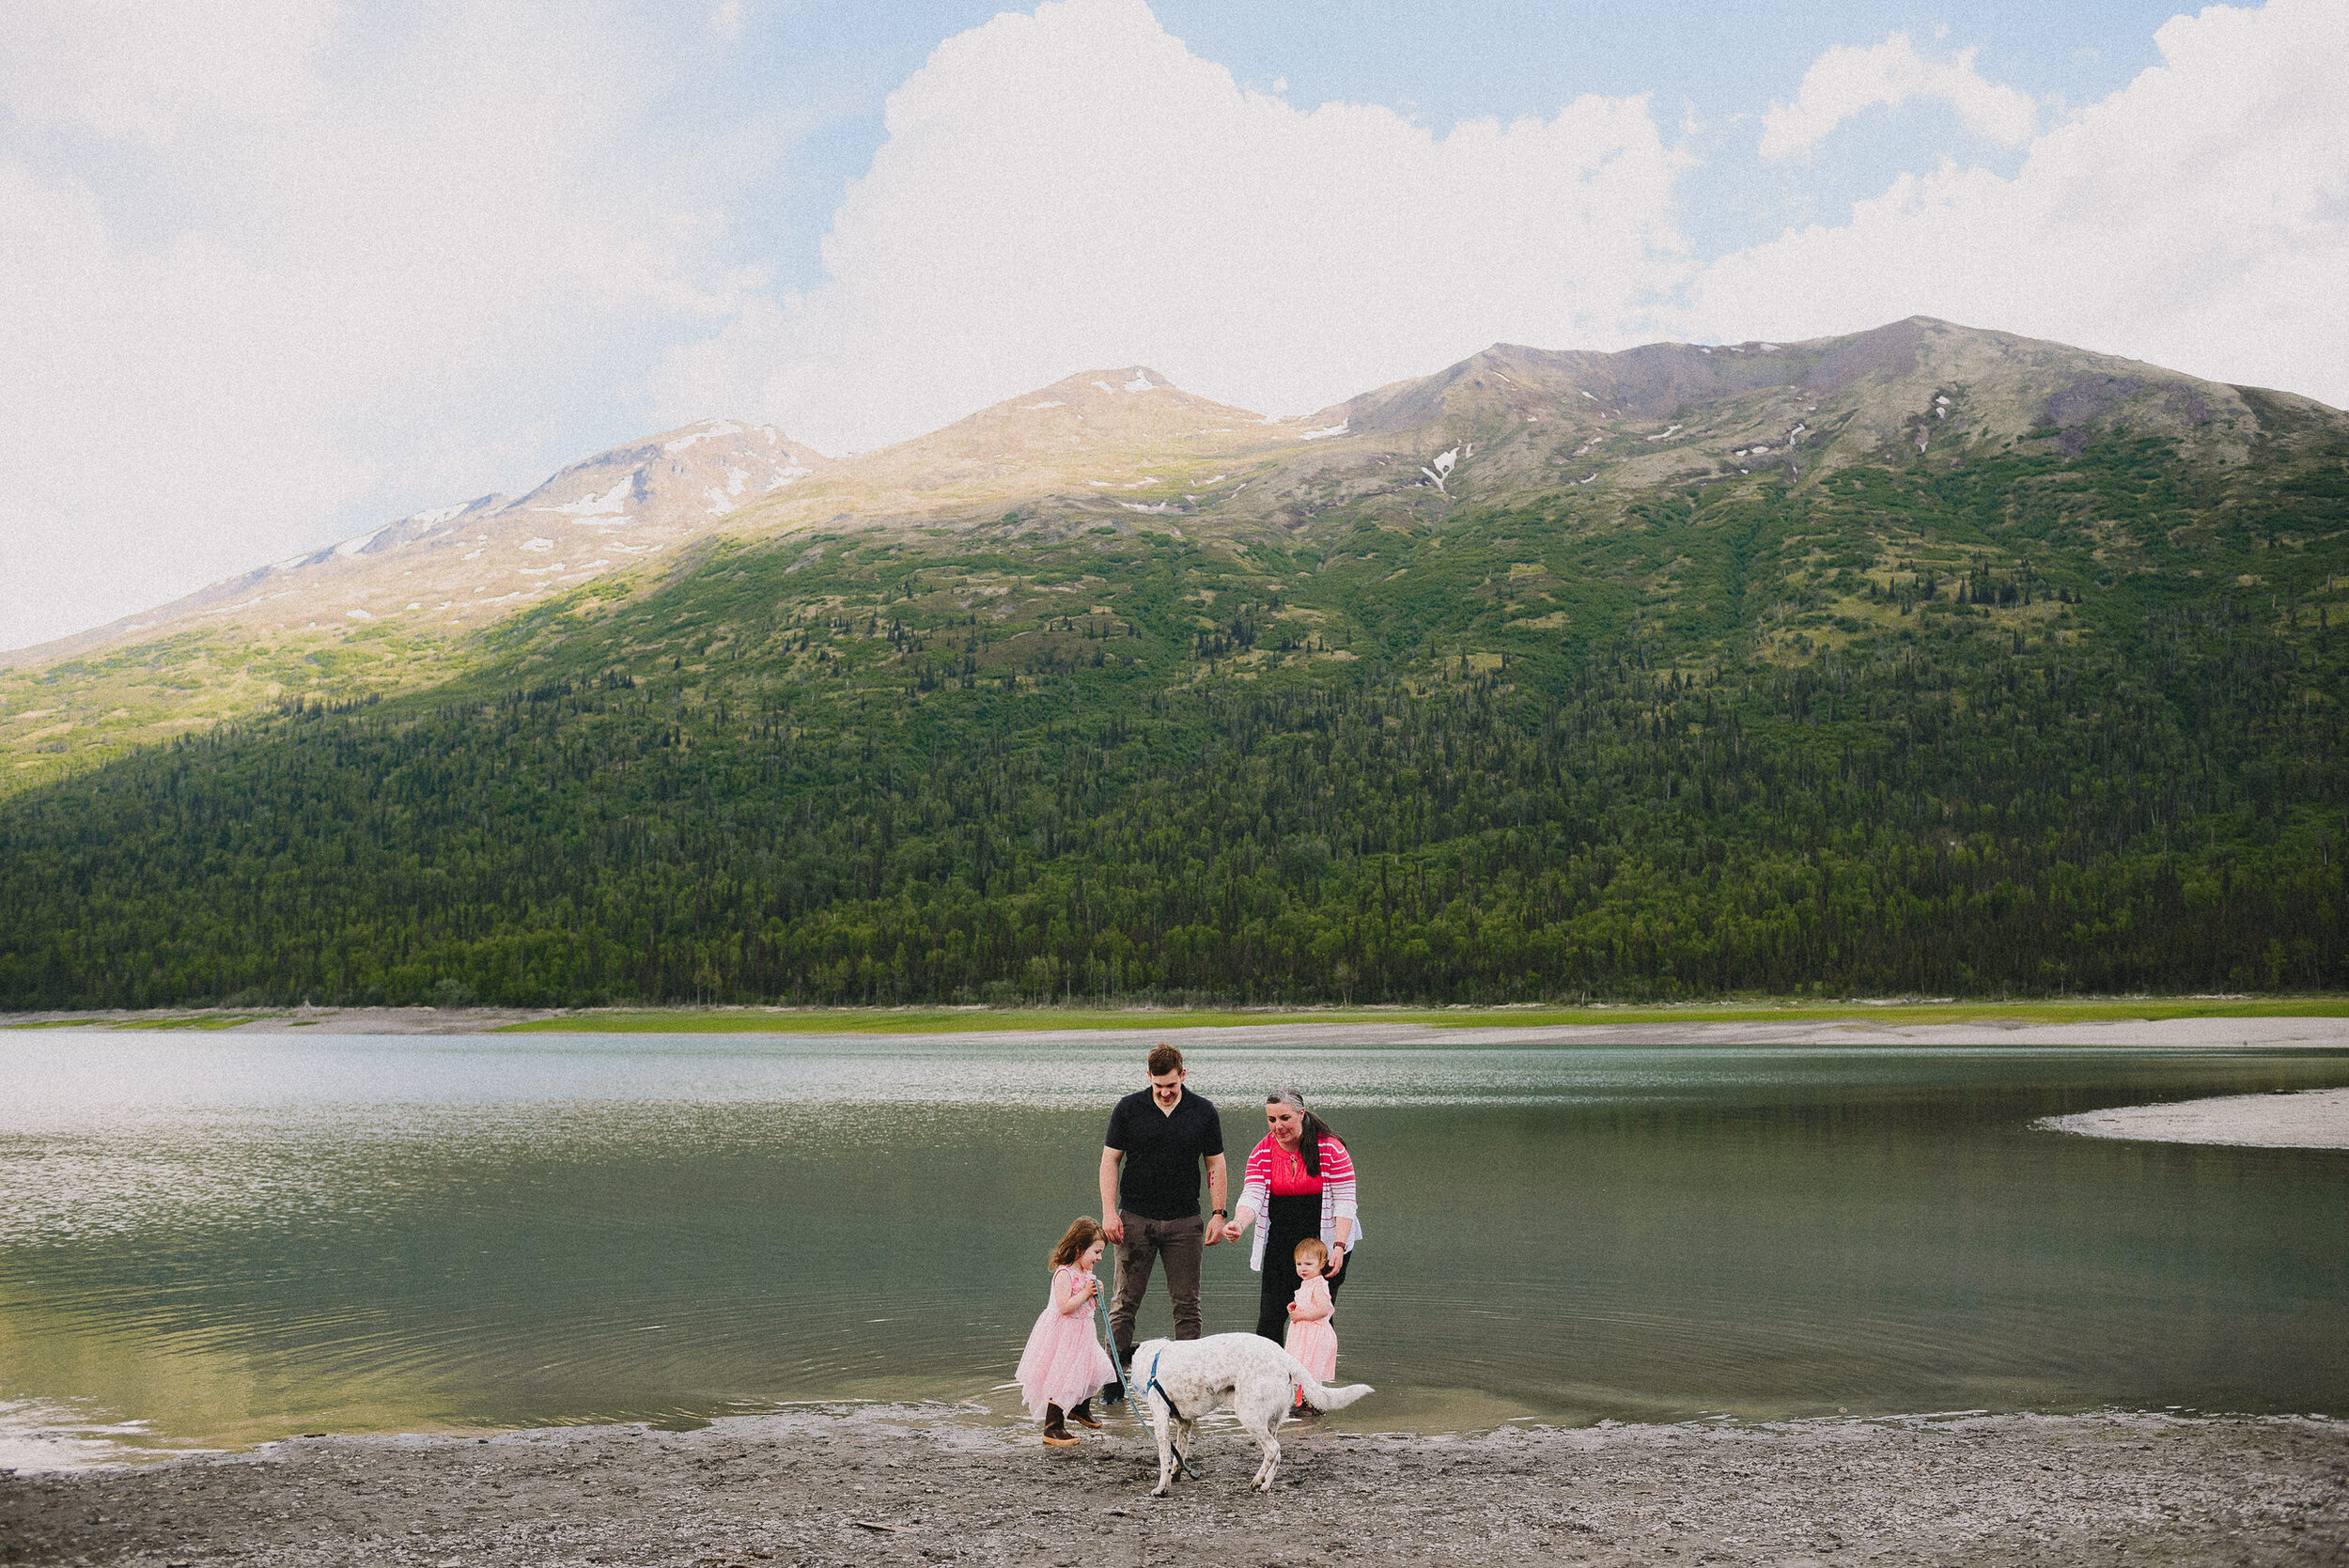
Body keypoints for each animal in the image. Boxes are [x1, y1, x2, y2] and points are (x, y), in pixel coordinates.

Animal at [1123, 1333, 1372, 1493]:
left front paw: (1162, 1487)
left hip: (1249, 1415)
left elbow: (1165, 1456)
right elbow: (1179, 1453)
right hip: (1271, 1421)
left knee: (1273, 1450)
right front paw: (1176, 1474)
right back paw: (1266, 1485)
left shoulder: (1160, 1419)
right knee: (1277, 1454)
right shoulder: (1185, 1423)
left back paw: (1256, 1480)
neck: (1152, 1357)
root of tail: (1284, 1356)